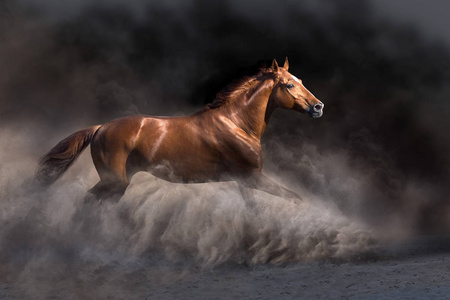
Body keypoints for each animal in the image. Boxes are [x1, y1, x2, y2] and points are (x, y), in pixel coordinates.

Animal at [35, 58, 324, 204]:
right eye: (288, 85)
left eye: (301, 80)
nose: (318, 106)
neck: (236, 123)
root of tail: (100, 128)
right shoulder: (253, 177)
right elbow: (296, 198)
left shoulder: (244, 182)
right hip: (113, 181)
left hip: (117, 184)